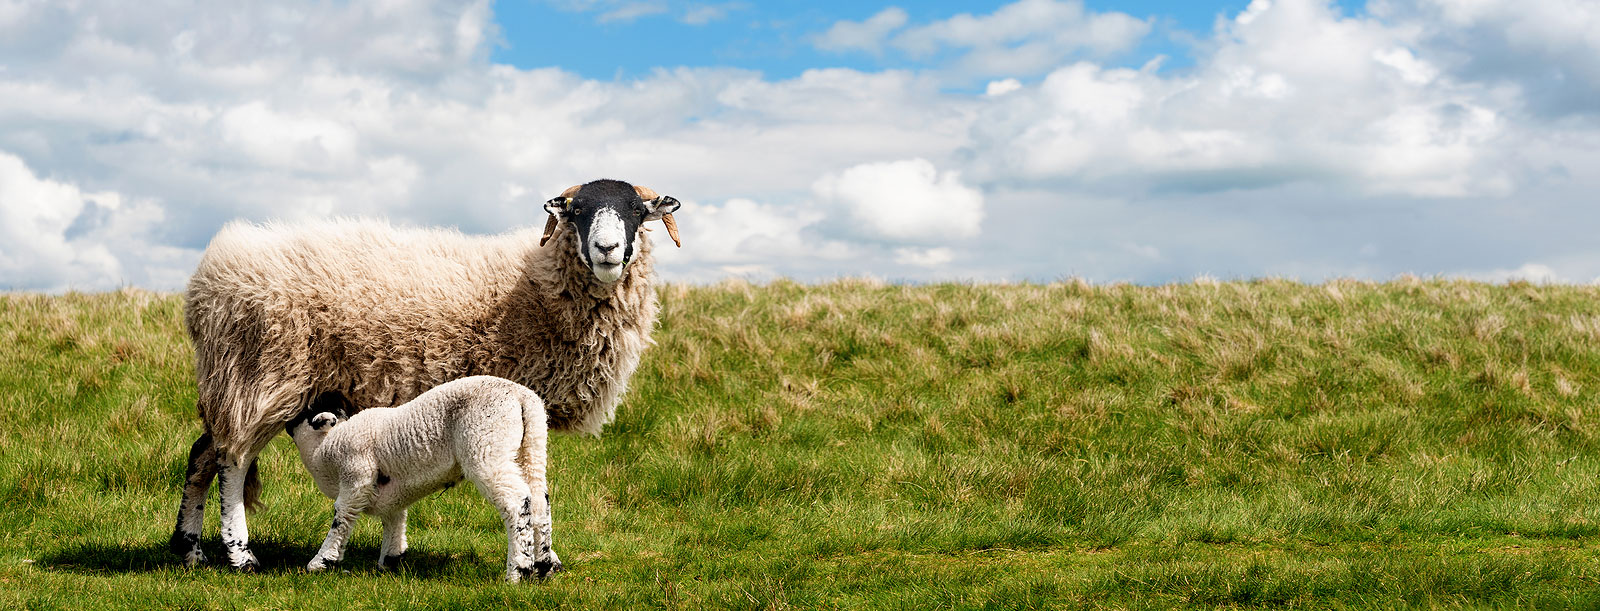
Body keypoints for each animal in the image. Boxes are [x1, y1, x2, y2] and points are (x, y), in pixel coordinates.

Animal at [288, 377, 563, 582]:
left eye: (305, 413)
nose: (286, 423)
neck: (324, 447)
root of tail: (521, 397)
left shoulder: (356, 474)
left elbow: (342, 517)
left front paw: (321, 562)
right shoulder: (391, 489)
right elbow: (394, 518)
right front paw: (390, 560)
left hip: (487, 445)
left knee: (517, 502)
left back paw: (518, 572)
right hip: (532, 446)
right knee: (540, 501)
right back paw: (544, 567)